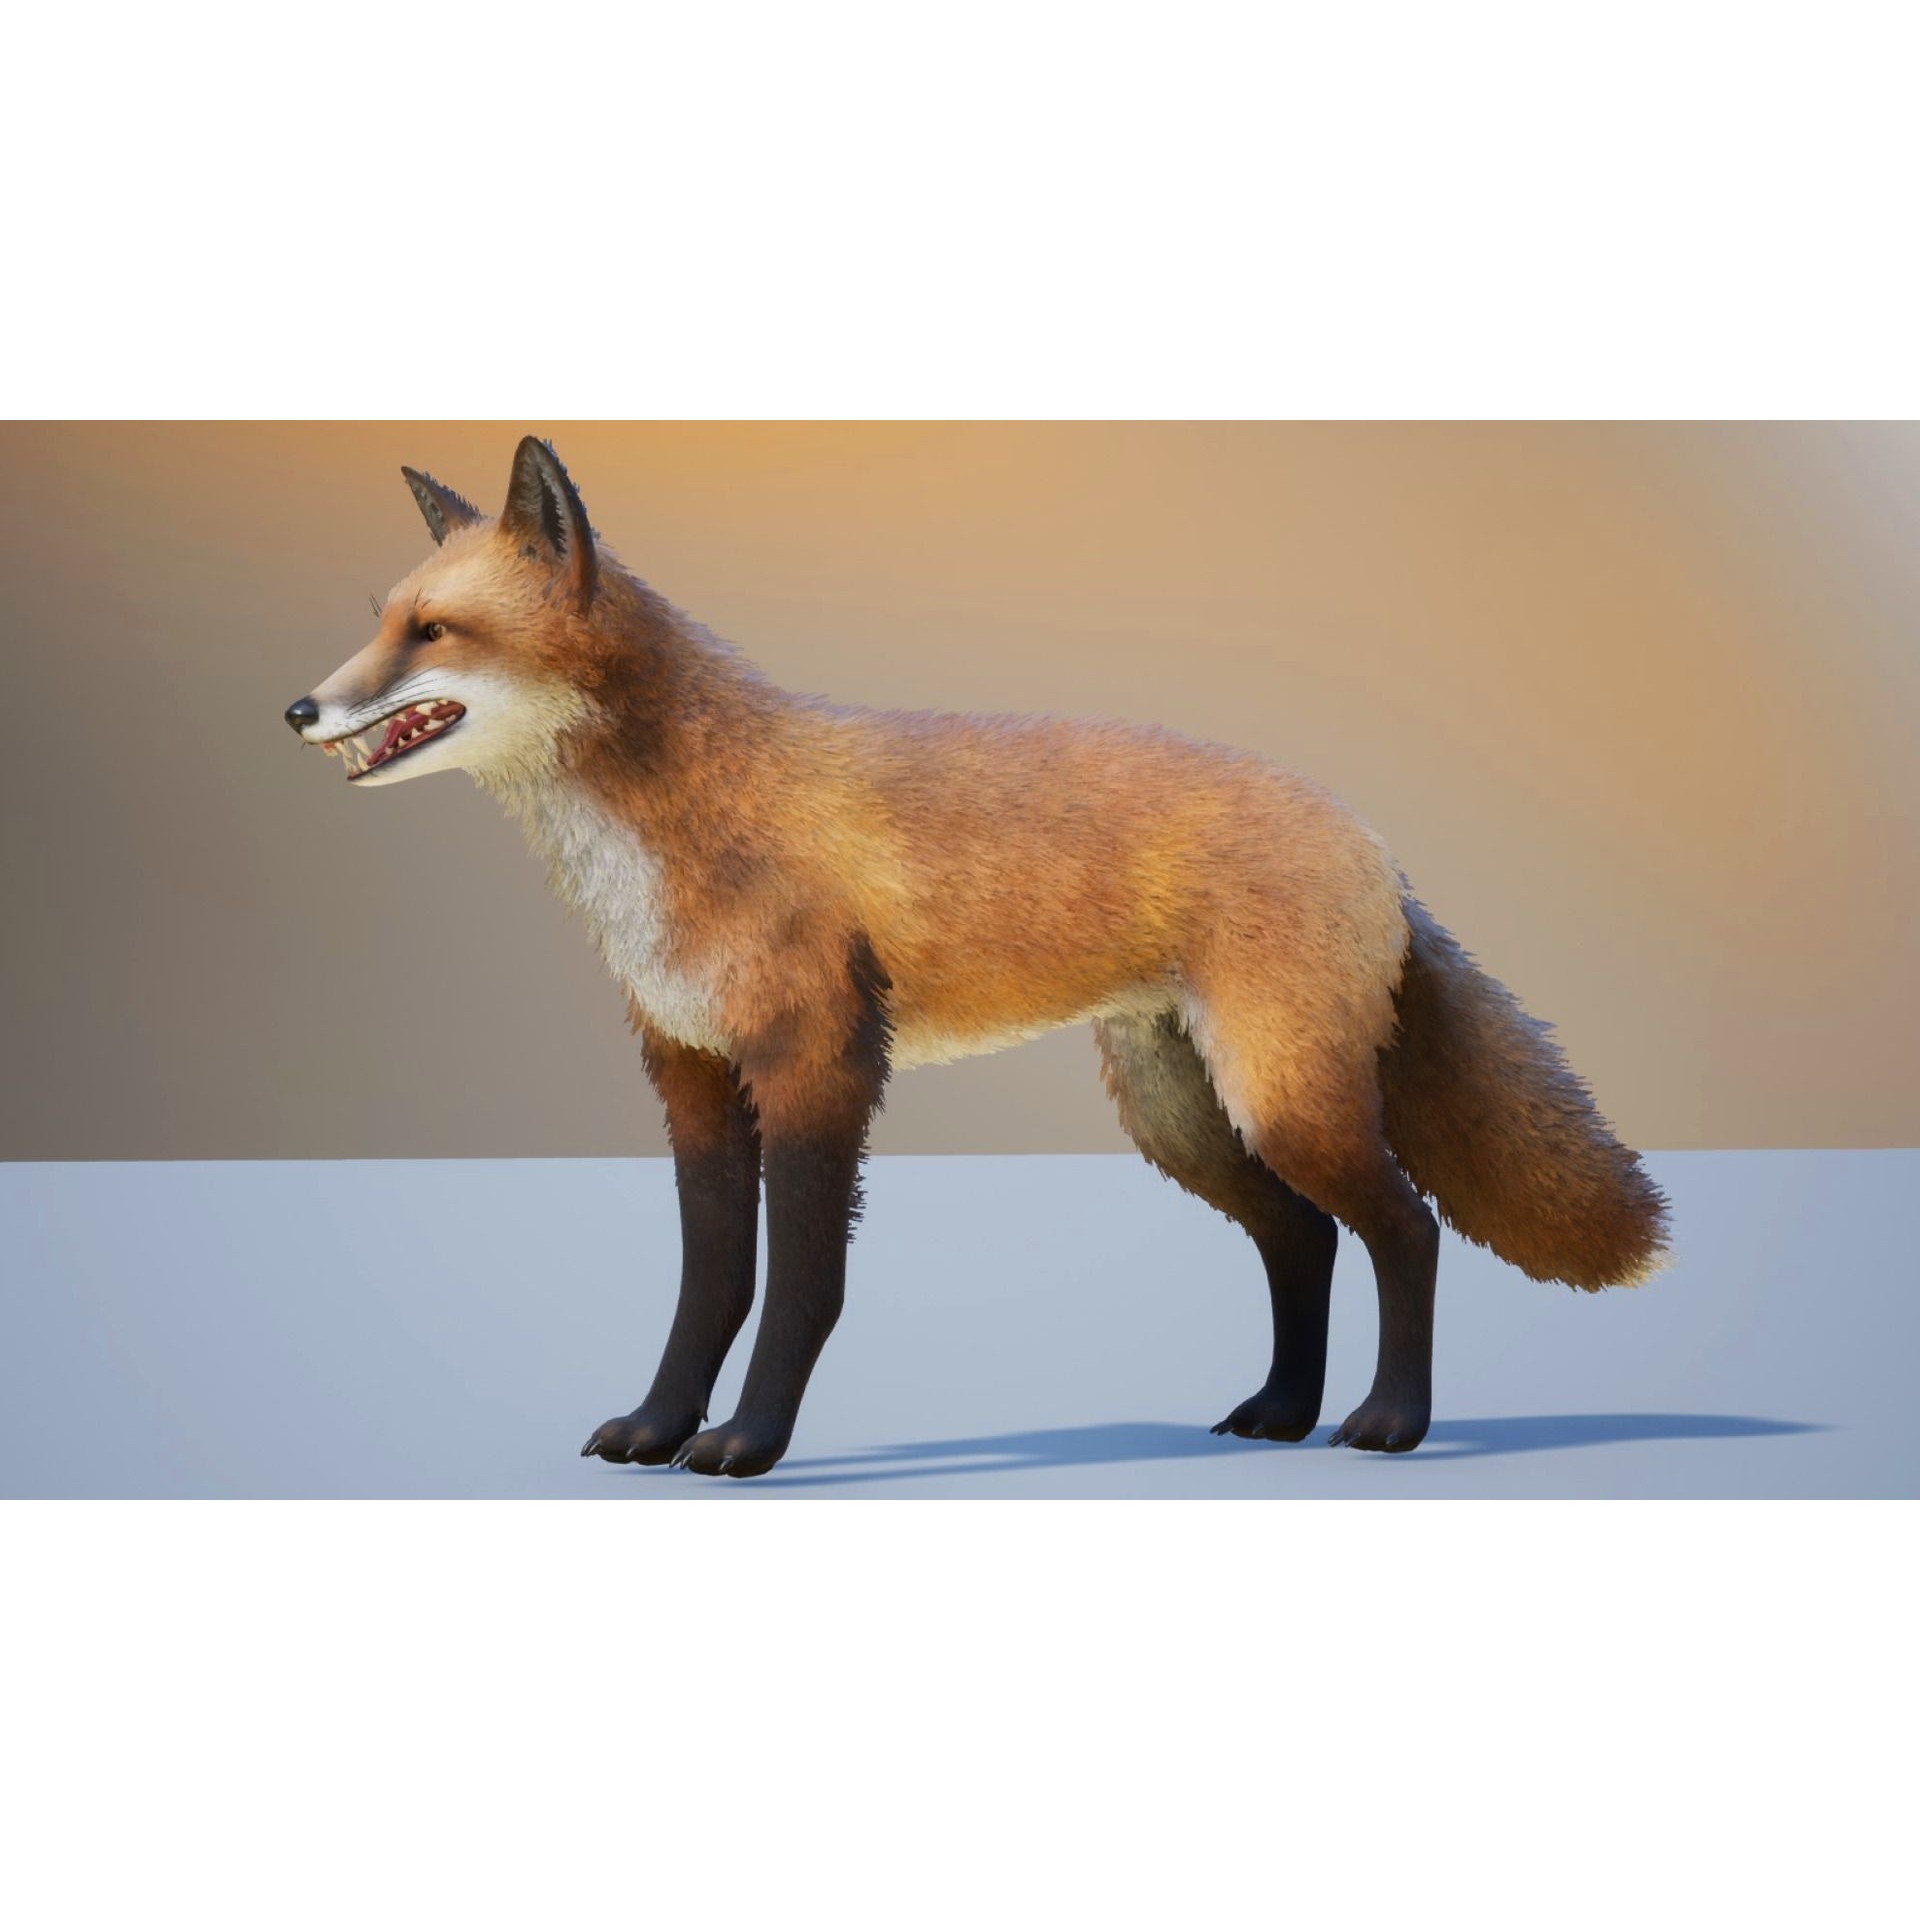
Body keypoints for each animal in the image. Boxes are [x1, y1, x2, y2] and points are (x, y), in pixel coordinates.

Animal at [286, 435, 1669, 1478]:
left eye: (434, 632)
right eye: (382, 624)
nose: (299, 708)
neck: (670, 841)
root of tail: (1369, 838)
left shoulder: (818, 1068)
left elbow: (801, 1287)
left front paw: (750, 1442)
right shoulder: (689, 1074)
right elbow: (709, 1286)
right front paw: (661, 1426)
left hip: (1284, 1101)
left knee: (1407, 1231)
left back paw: (1389, 1423)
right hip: (1182, 1116)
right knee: (1305, 1241)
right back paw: (1280, 1413)